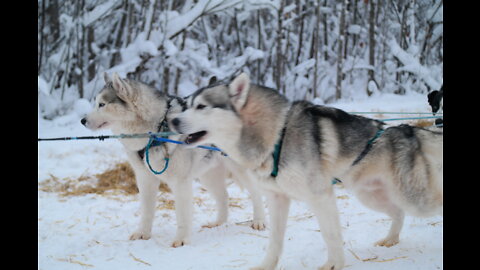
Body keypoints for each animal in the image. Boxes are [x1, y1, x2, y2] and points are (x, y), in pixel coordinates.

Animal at [80, 73, 264, 248]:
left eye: (102, 104)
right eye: (96, 103)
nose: (82, 120)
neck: (156, 130)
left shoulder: (181, 183)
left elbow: (182, 215)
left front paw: (181, 240)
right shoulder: (145, 179)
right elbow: (146, 211)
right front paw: (143, 233)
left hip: (240, 171)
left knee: (256, 193)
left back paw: (259, 221)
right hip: (208, 176)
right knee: (224, 197)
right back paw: (218, 223)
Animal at [171, 73, 444, 268]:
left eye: (201, 106)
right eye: (187, 105)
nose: (172, 120)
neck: (276, 135)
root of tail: (409, 130)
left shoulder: (320, 197)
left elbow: (331, 236)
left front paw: (334, 265)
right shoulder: (278, 199)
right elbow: (275, 241)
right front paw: (266, 266)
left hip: (415, 199)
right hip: (372, 196)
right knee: (398, 213)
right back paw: (390, 240)